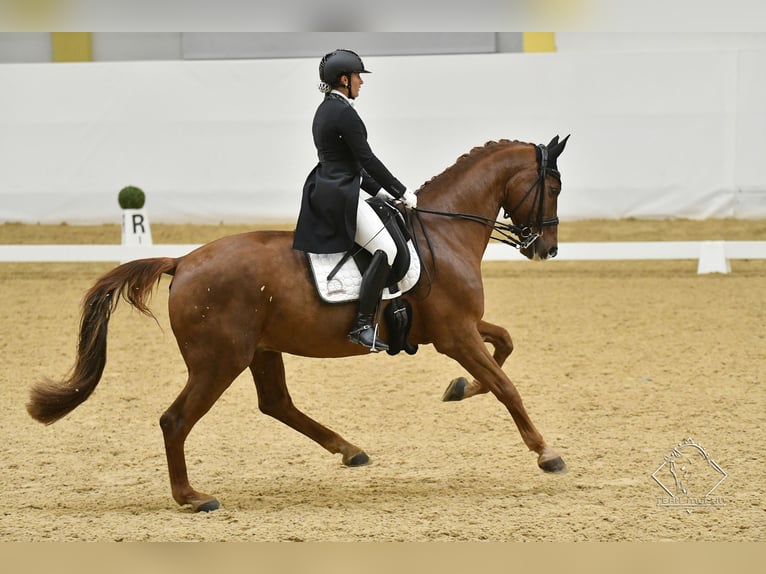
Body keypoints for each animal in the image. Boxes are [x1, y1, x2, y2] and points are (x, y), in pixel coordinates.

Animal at [27, 135, 568, 512]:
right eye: (553, 187)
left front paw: (458, 389)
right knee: (176, 420)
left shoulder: (457, 330)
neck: (444, 230)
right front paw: (546, 453)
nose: (547, 249)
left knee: (276, 404)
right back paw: (193, 497)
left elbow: (504, 348)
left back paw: (349, 450)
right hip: (218, 362)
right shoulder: (455, 335)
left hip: (260, 351)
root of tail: (182, 263)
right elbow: (505, 385)